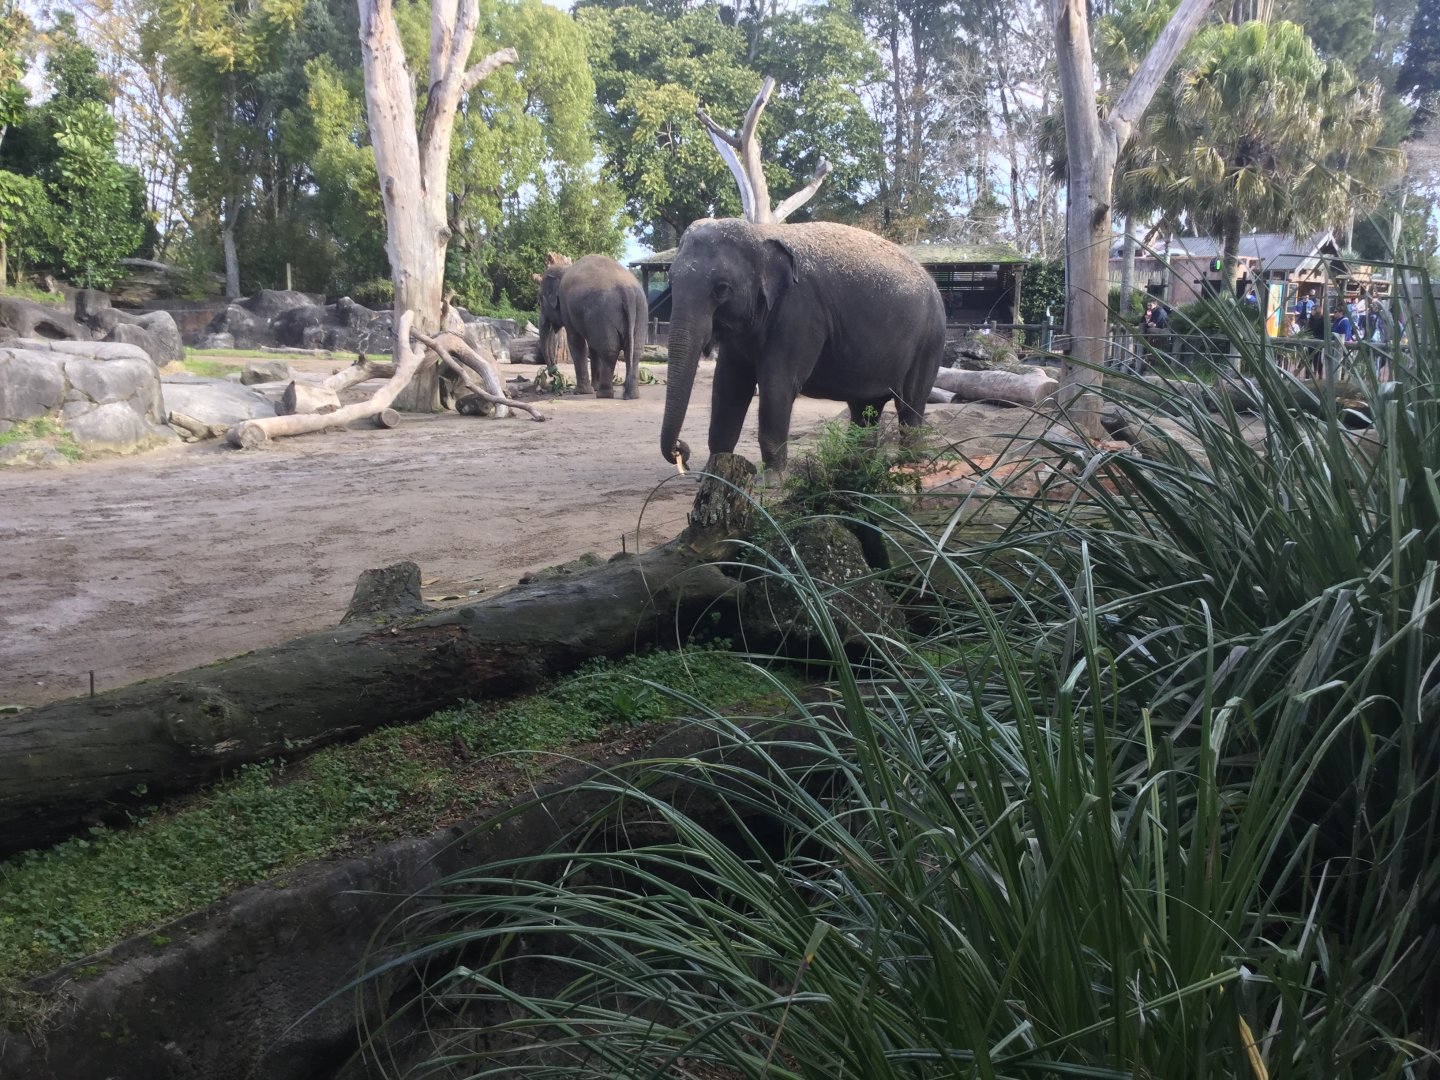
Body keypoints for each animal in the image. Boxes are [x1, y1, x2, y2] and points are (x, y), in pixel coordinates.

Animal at [536, 254, 649, 399]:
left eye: (540, 299)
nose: (553, 373)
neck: (564, 268)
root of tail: (626, 290)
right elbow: (592, 348)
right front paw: (593, 388)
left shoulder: (567, 306)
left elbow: (577, 342)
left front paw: (581, 391)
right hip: (641, 312)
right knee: (634, 351)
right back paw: (631, 395)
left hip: (604, 313)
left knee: (609, 351)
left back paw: (603, 394)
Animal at [660, 217, 946, 476]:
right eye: (671, 282)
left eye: (721, 289)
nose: (680, 450)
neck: (758, 233)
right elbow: (728, 385)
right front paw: (712, 475)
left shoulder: (800, 314)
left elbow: (777, 384)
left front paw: (773, 481)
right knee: (865, 408)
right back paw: (855, 467)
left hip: (930, 340)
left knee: (910, 404)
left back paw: (907, 466)